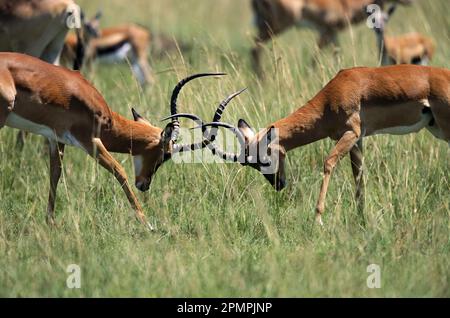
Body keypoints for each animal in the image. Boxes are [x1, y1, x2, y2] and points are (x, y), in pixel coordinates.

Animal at [251, 0, 414, 76]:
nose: (409, 2)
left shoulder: (333, 33)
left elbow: (336, 54)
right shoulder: (327, 30)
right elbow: (315, 58)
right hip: (277, 26)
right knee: (255, 48)